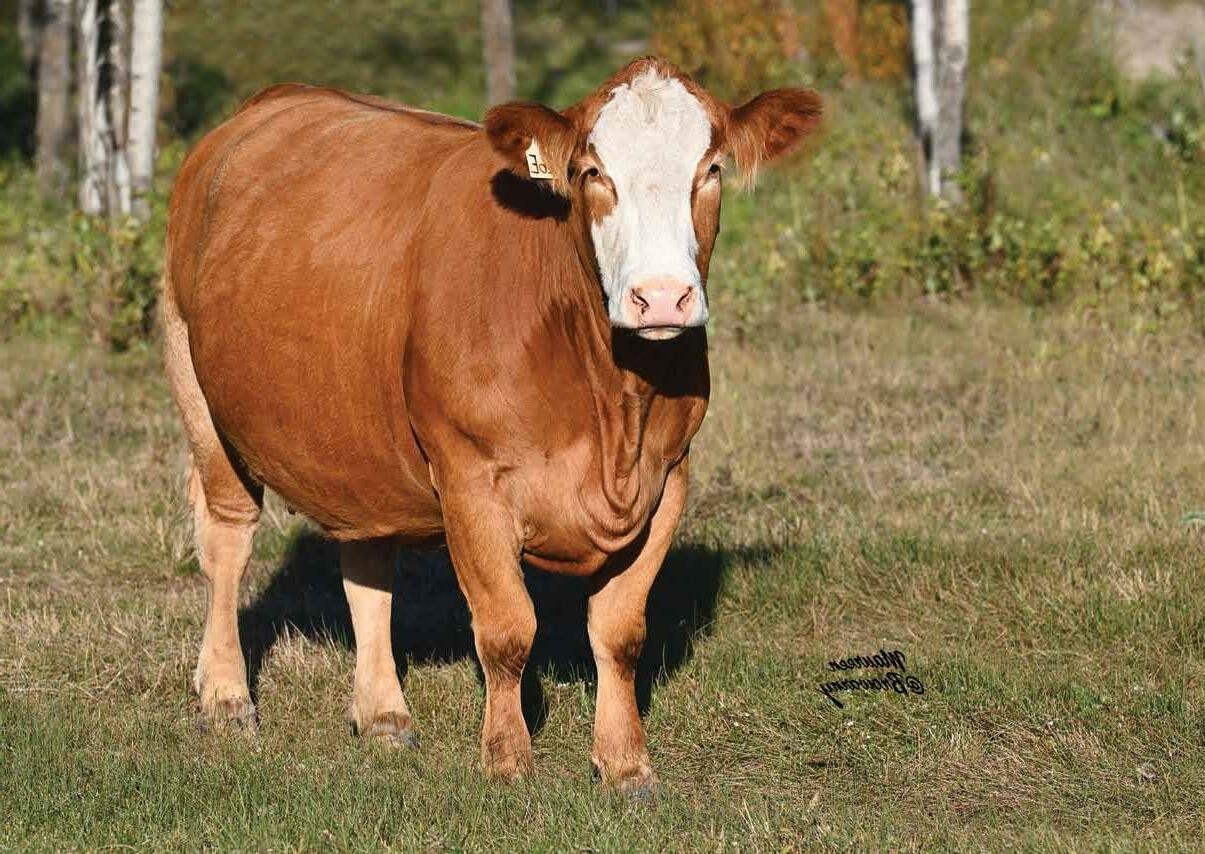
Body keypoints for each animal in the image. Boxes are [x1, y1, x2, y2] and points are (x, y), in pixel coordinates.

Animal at [162, 57, 821, 794]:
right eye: (591, 171)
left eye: (710, 169)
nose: (659, 298)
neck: (611, 403)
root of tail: (271, 102)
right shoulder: (469, 475)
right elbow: (507, 629)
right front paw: (508, 760)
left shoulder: (669, 475)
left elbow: (620, 633)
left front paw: (625, 763)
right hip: (195, 384)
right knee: (226, 539)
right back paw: (225, 697)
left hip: (356, 438)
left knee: (367, 561)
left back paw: (383, 712)